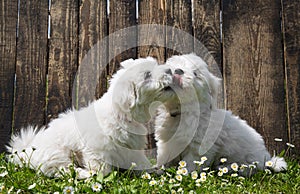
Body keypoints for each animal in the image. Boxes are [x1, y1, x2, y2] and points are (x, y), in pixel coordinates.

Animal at [5, 56, 170, 178]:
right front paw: (100, 176)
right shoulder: (97, 148)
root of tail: (27, 151)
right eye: (148, 75)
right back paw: (83, 173)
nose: (169, 70)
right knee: (61, 169)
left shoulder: (132, 148)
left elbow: (141, 163)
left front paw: (154, 171)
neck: (121, 114)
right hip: (56, 153)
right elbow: (101, 168)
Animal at [154, 53, 288, 174]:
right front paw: (159, 171)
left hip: (249, 159)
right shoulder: (167, 141)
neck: (183, 112)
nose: (178, 70)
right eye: (175, 66)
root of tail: (268, 160)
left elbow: (190, 162)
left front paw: (184, 174)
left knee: (249, 168)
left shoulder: (199, 145)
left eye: (196, 74)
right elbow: (164, 156)